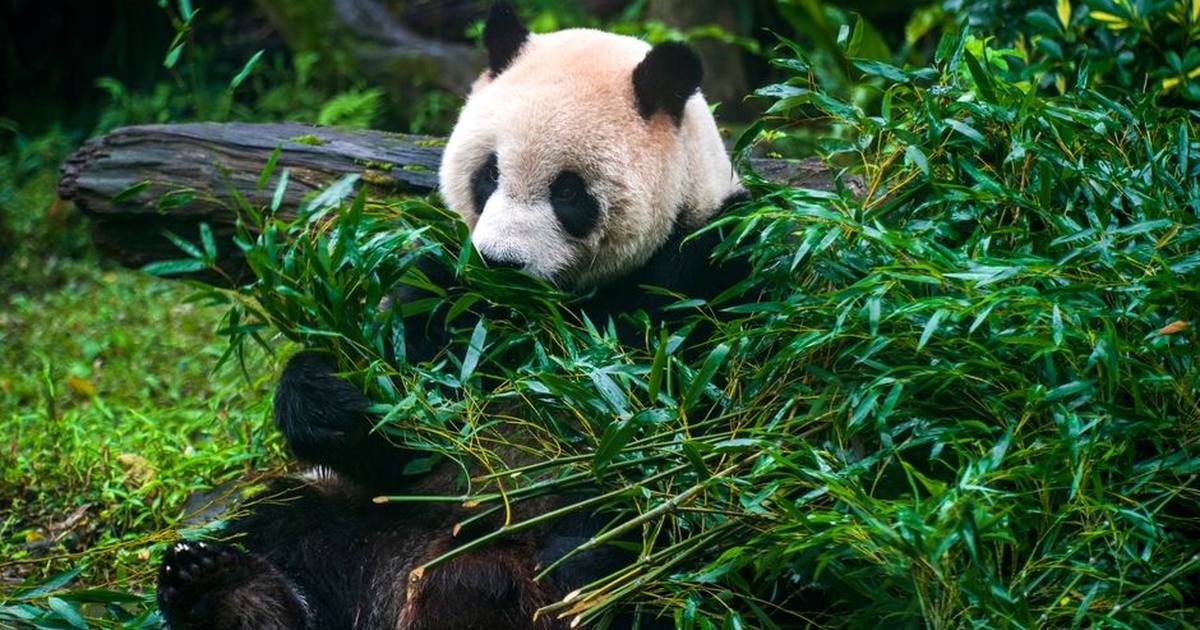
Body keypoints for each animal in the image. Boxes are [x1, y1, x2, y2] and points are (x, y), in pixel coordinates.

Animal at [155, 4, 749, 629]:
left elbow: (689, 441)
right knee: (284, 523)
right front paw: (330, 395)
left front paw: (592, 544)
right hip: (369, 520)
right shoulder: (445, 294)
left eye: (569, 192)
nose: (500, 263)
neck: (544, 314)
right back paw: (224, 590)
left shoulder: (710, 268)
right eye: (489, 173)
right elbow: (396, 436)